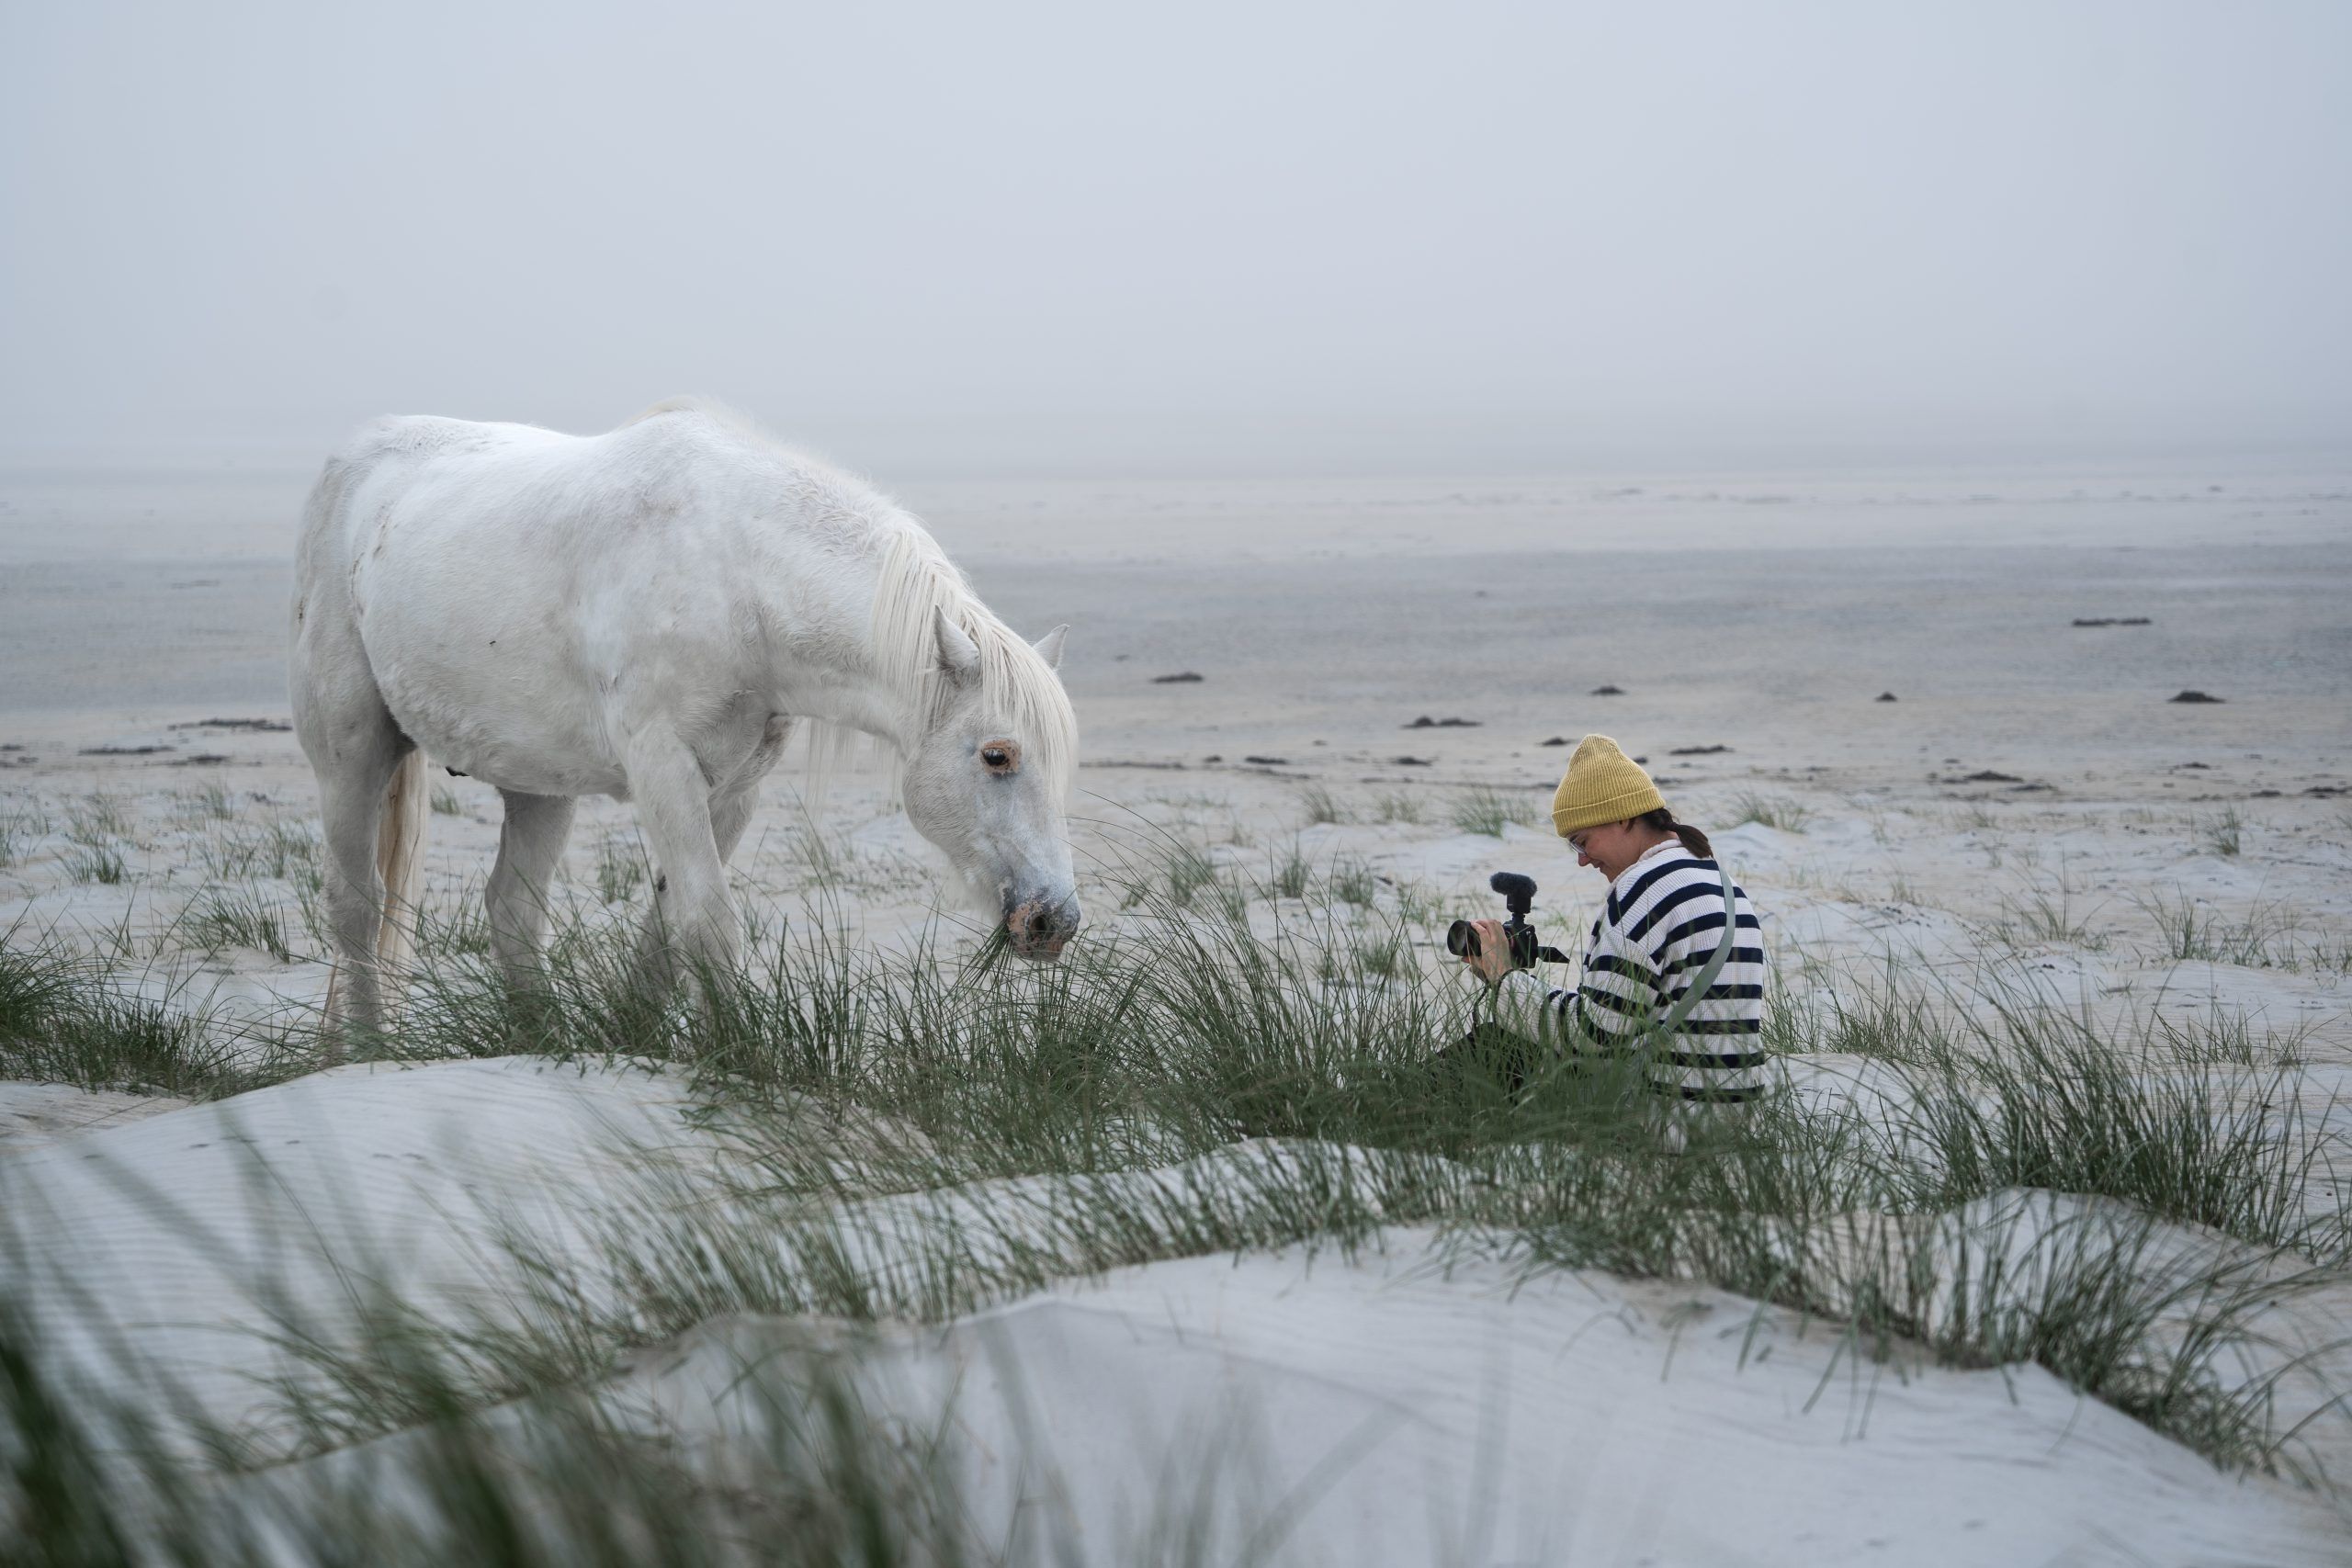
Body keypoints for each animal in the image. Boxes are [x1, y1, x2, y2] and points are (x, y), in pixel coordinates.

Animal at [289, 398, 1080, 1050]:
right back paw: (370, 1051)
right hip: (351, 753)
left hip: (540, 788)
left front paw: (643, 1045)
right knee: (356, 905)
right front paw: (739, 1065)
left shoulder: (731, 789)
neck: (739, 578)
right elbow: (709, 924)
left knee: (511, 913)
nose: (1055, 920)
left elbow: (669, 934)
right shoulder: (663, 768)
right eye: (997, 755)